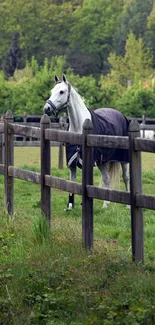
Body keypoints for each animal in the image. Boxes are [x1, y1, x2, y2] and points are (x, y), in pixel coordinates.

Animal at [44, 75, 130, 209]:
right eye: (52, 91)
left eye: (62, 91)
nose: (46, 108)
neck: (79, 126)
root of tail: (121, 115)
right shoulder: (72, 163)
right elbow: (72, 183)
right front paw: (70, 206)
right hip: (102, 161)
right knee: (107, 178)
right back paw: (105, 205)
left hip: (124, 159)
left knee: (126, 177)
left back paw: (128, 206)